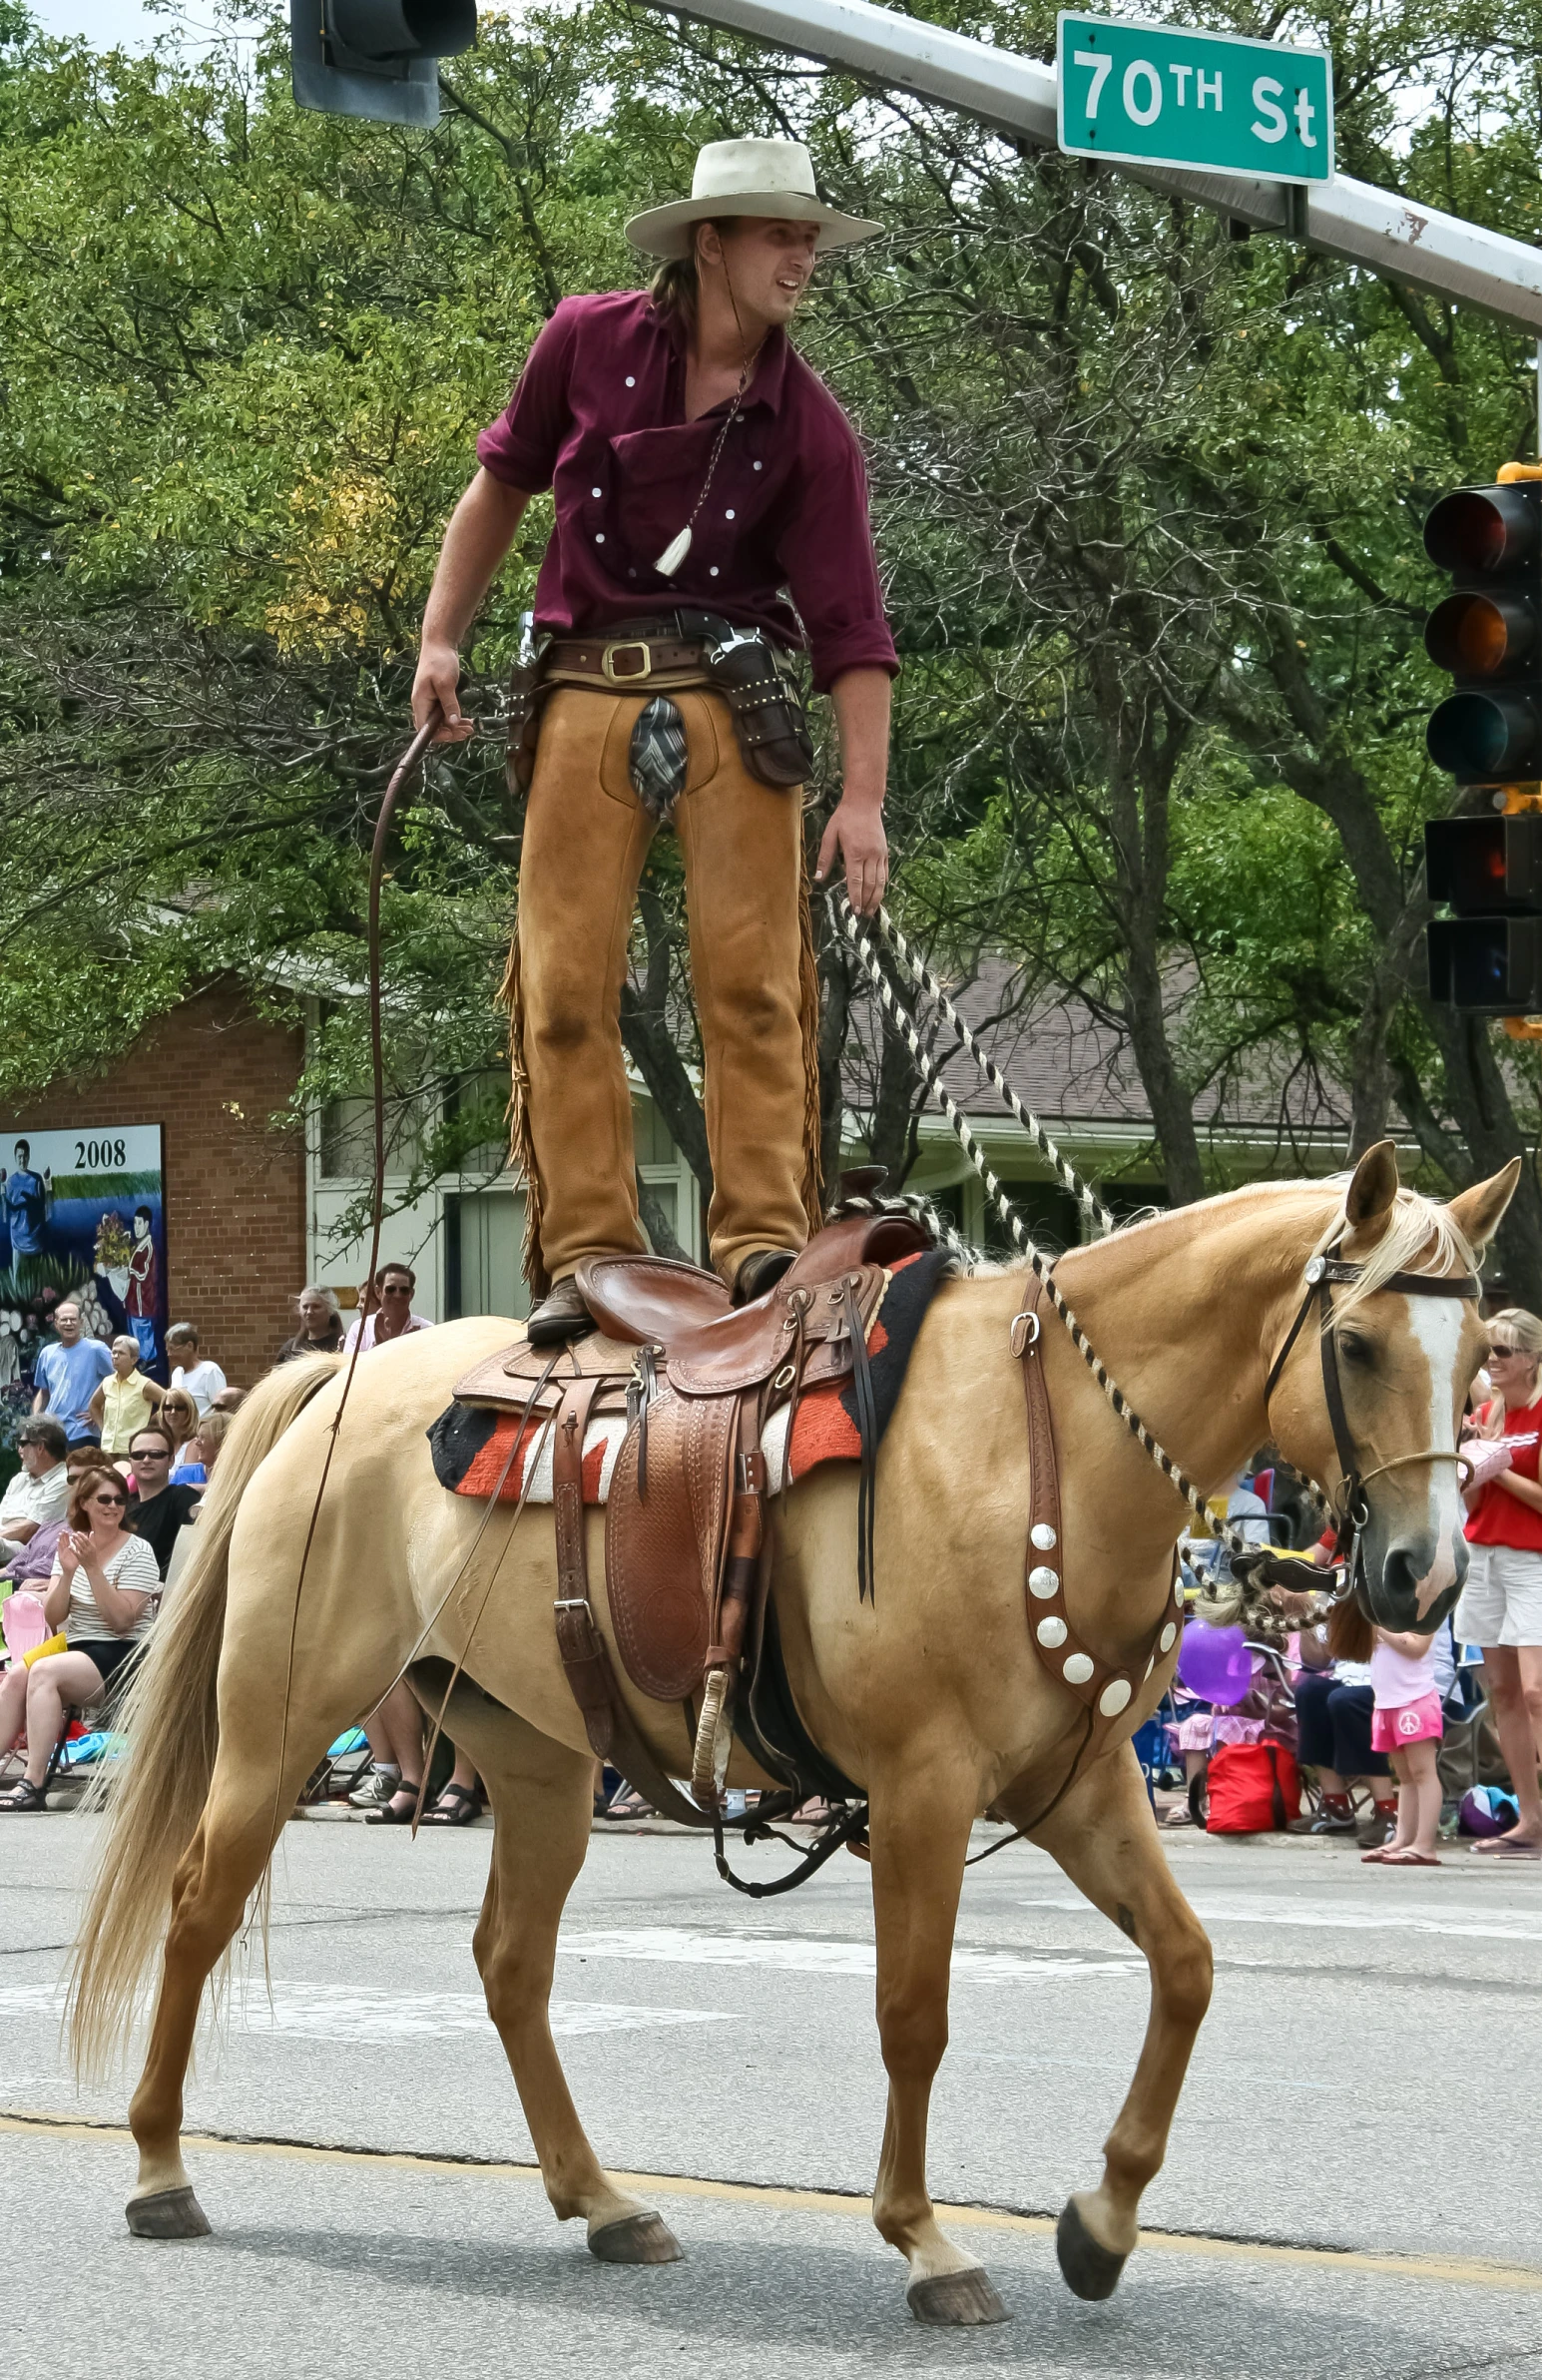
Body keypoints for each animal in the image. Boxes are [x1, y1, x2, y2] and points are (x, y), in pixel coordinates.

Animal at [69, 1142, 1503, 2332]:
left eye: (1482, 1351)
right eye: (1360, 1345)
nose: (1425, 1577)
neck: (1033, 1443)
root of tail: (340, 1375)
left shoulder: (1083, 1785)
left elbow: (1188, 1968)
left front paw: (1099, 2224)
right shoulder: (926, 1789)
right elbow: (914, 2014)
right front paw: (927, 2242)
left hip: (534, 1752)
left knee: (510, 1963)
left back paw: (603, 2202)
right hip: (278, 1718)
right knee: (198, 1907)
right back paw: (157, 2167)